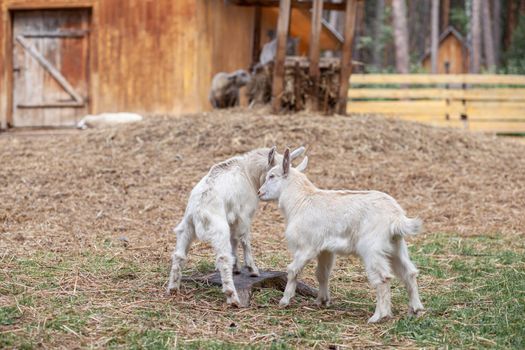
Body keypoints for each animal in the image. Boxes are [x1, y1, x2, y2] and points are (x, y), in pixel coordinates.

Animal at [168, 145, 304, 306]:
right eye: (272, 174)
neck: (248, 172)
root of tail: (199, 209)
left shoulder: (233, 218)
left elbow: (234, 240)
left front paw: (237, 267)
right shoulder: (244, 216)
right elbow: (244, 240)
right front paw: (252, 269)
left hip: (187, 227)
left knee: (179, 255)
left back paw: (173, 289)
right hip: (219, 230)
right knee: (223, 259)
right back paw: (232, 297)